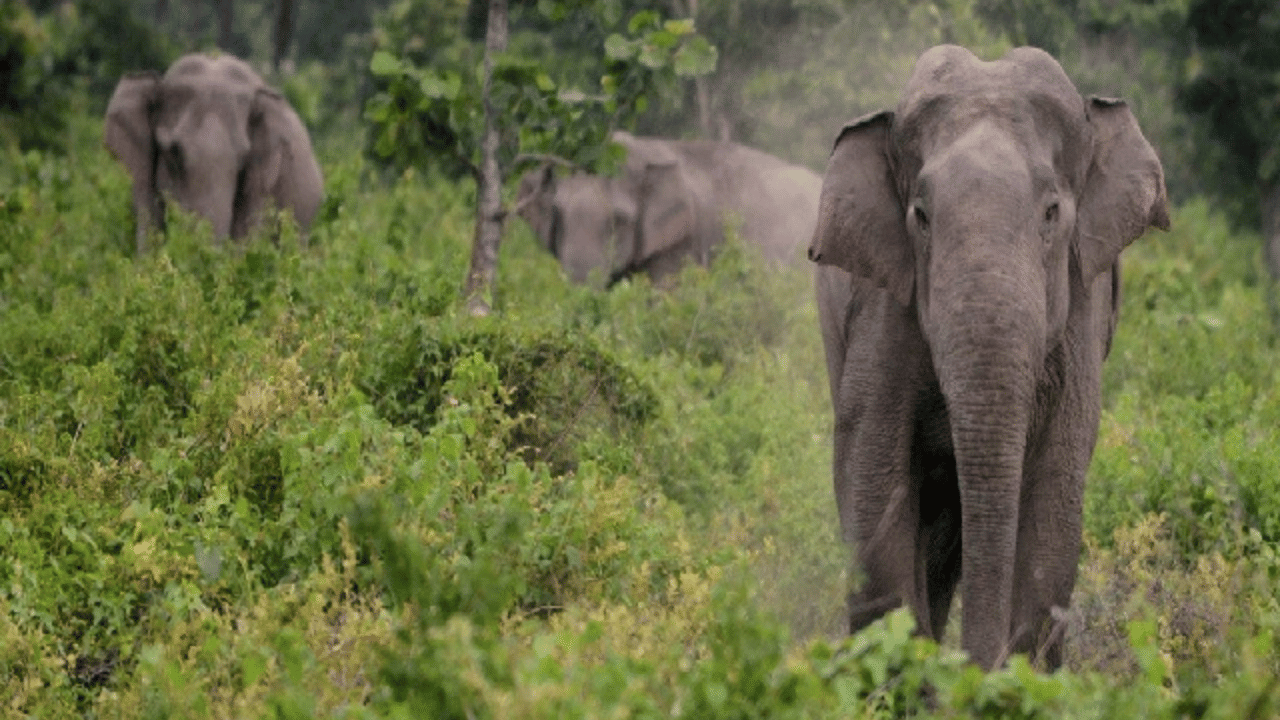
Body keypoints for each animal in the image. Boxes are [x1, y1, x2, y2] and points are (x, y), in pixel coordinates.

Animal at [808, 45, 1169, 670]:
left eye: (1051, 213)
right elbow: (873, 470)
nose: (976, 667)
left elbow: (1055, 489)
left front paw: (1015, 680)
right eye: (921, 216)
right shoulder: (885, 304)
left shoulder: (1080, 304)